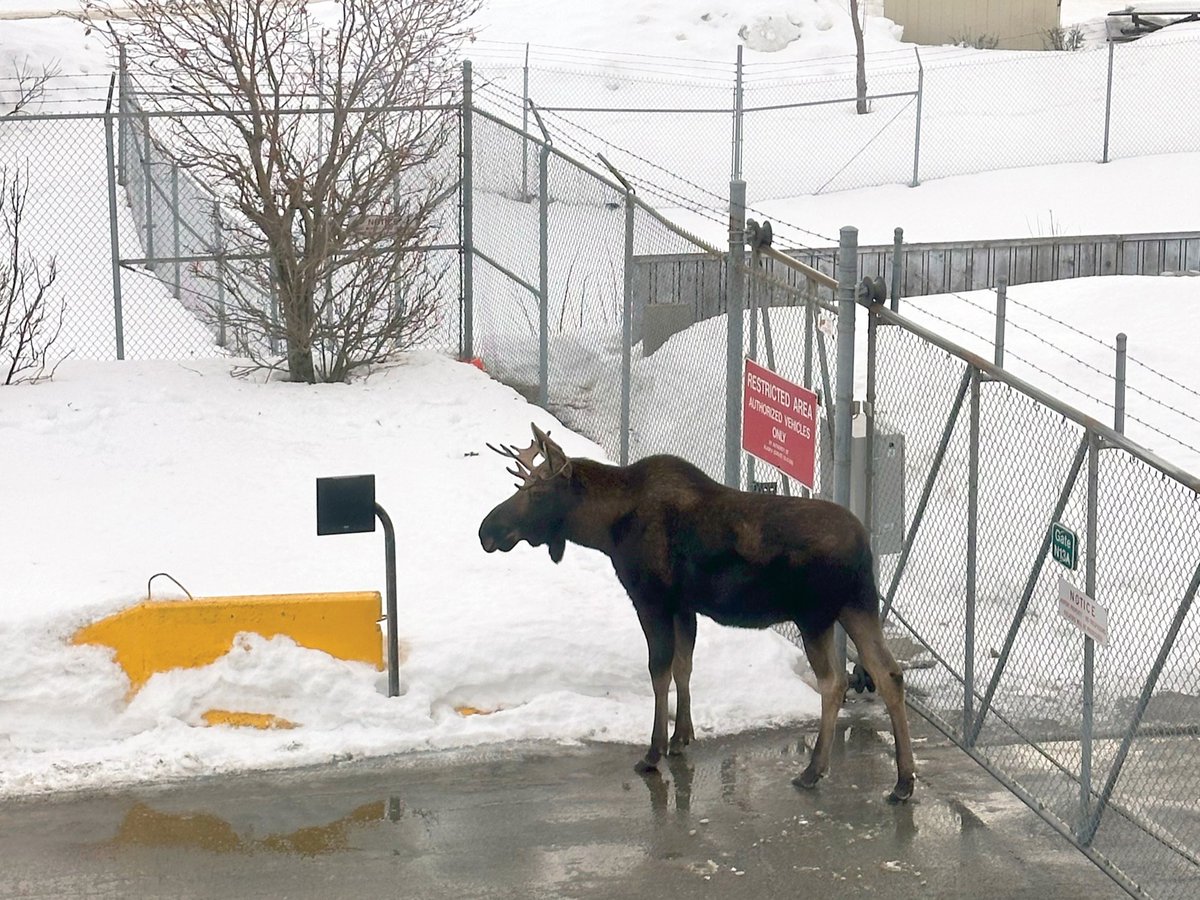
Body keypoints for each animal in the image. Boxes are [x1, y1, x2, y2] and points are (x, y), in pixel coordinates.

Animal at [477, 422, 916, 801]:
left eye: (536, 491)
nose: (486, 530)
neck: (606, 528)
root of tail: (864, 547)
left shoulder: (651, 599)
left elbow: (659, 672)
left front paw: (652, 752)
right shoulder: (683, 607)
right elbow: (684, 667)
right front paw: (681, 737)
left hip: (815, 616)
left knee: (835, 682)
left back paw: (813, 770)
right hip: (858, 606)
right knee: (888, 673)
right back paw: (903, 781)